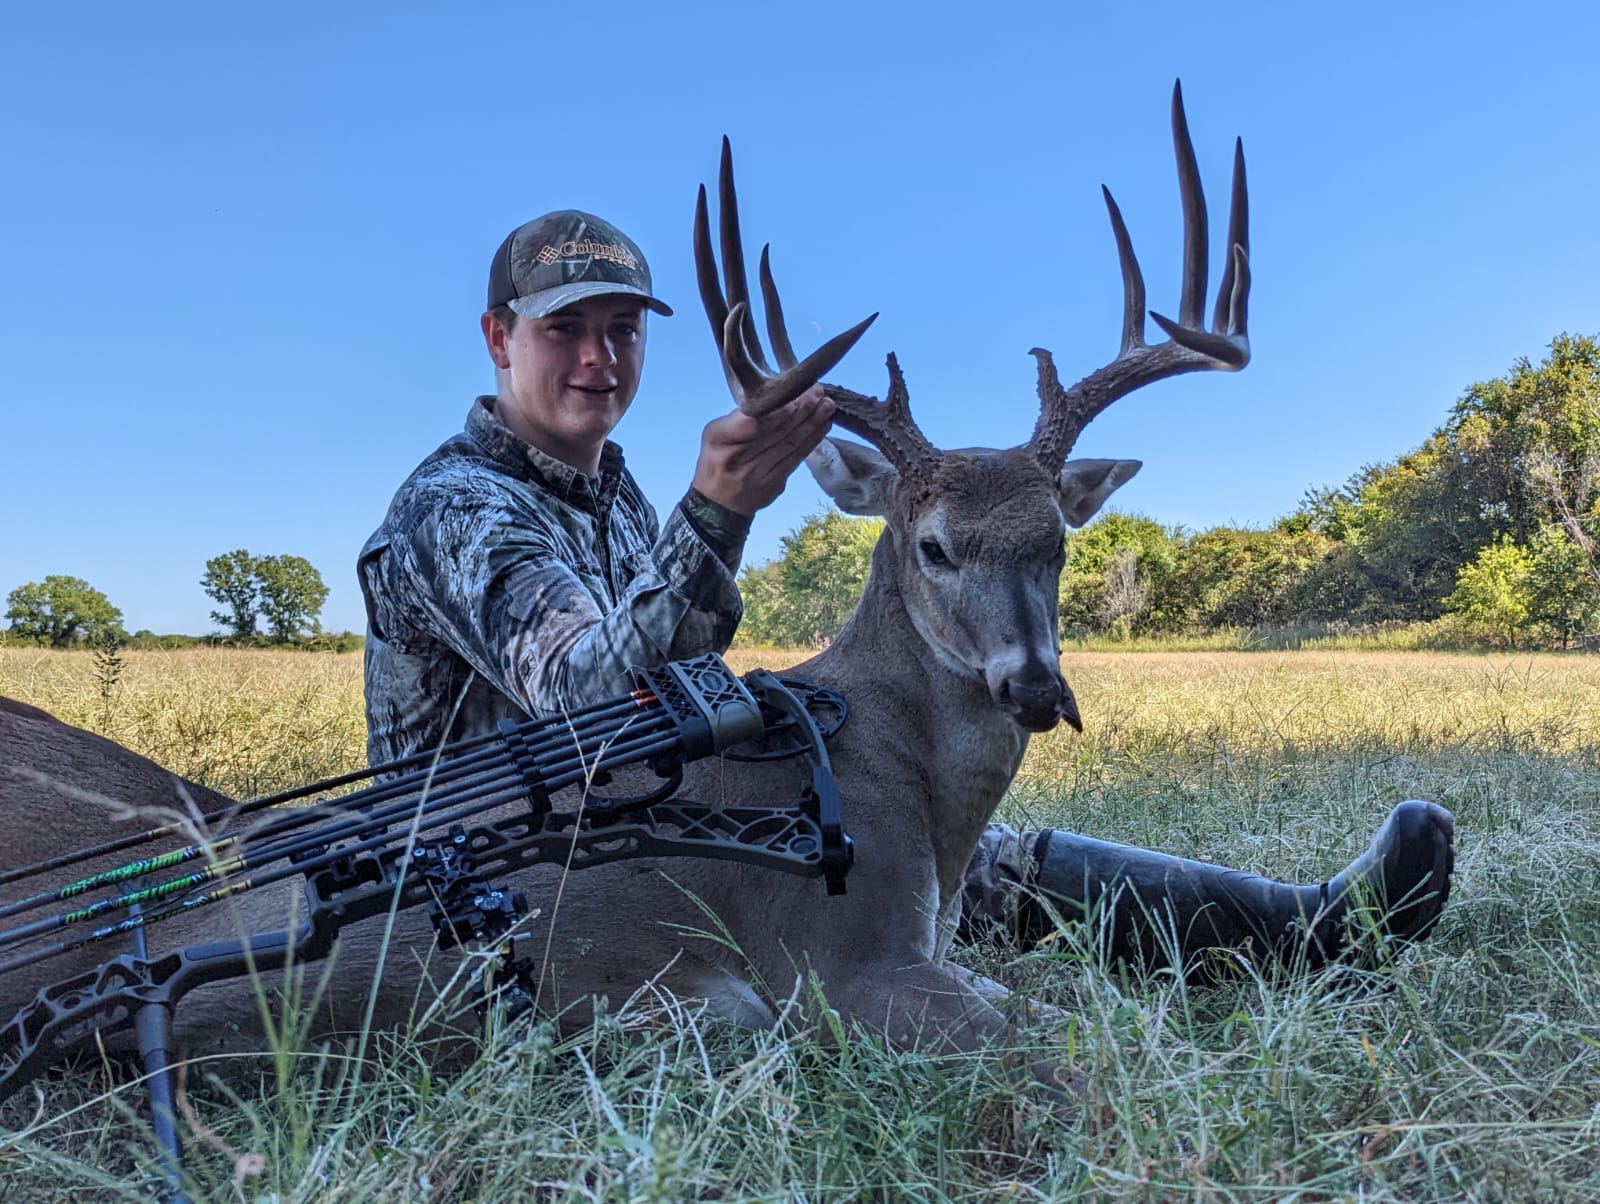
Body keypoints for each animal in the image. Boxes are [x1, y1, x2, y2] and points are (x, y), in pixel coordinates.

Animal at [0, 83, 1256, 1090]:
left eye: (1057, 541)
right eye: (935, 545)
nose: (1033, 685)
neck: (913, 787)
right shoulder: (842, 965)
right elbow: (1067, 1037)